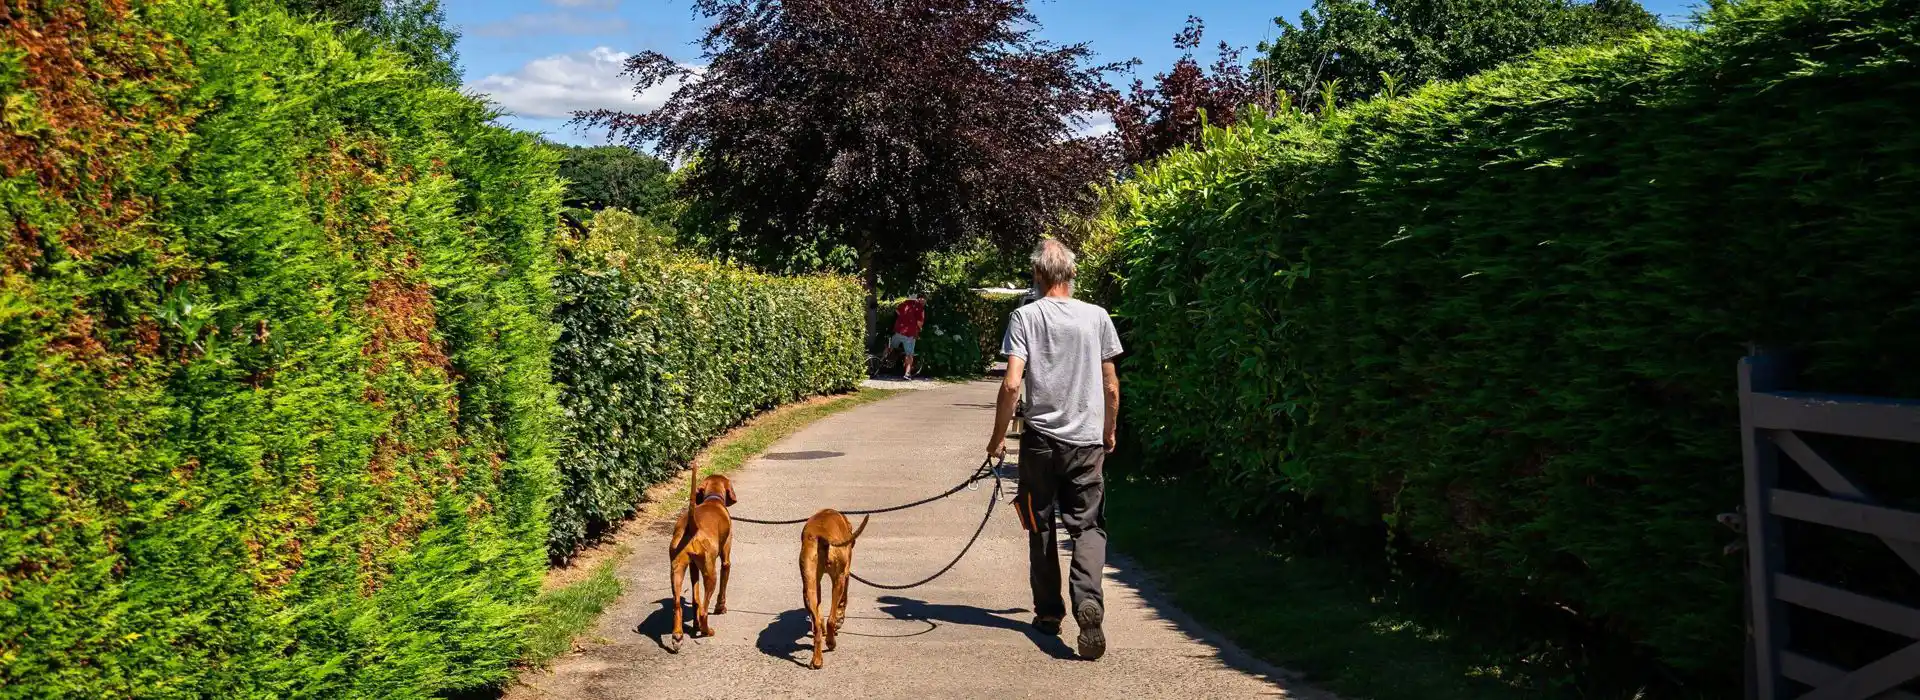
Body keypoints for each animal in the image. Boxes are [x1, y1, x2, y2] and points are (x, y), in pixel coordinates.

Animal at [794, 506, 871, 663]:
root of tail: (822, 535)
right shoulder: (845, 573)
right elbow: (843, 601)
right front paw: (840, 618)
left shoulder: (816, 584)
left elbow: (819, 614)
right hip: (839, 579)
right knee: (831, 619)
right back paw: (831, 642)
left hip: (808, 587)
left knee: (817, 623)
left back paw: (817, 660)